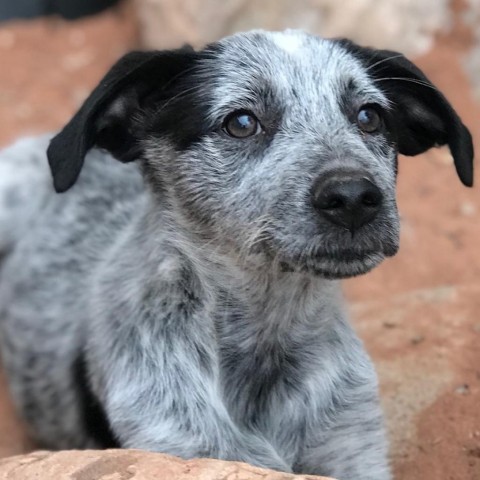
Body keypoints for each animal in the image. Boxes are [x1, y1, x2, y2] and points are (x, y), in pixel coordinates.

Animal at [0, 31, 472, 480]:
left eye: (370, 117)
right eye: (241, 123)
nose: (354, 197)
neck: (268, 339)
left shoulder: (352, 447)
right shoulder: (179, 441)